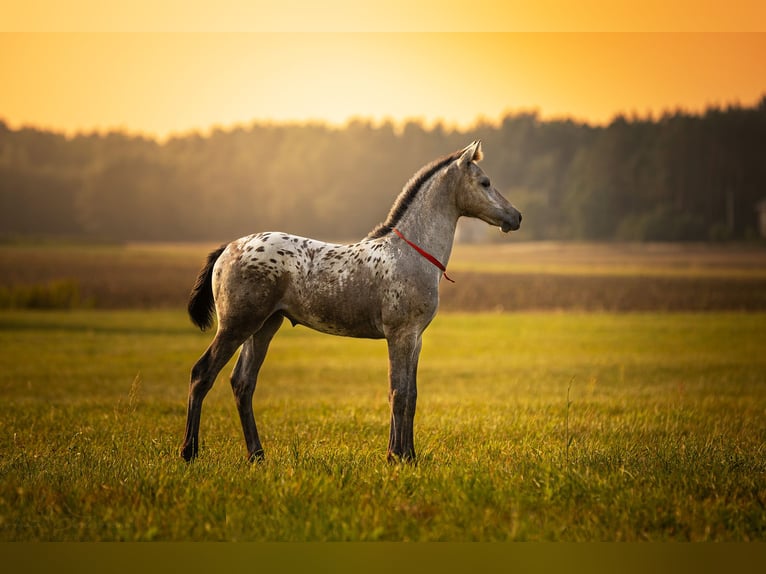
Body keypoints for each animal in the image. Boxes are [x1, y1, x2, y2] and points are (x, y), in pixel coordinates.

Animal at [181, 140, 522, 463]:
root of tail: (228, 248)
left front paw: (408, 455)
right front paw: (397, 456)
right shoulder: (400, 335)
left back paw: (257, 455)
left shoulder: (416, 338)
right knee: (202, 374)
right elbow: (398, 393)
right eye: (485, 182)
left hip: (263, 327)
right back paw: (189, 451)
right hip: (236, 326)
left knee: (243, 384)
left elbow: (410, 395)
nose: (516, 216)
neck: (409, 252)